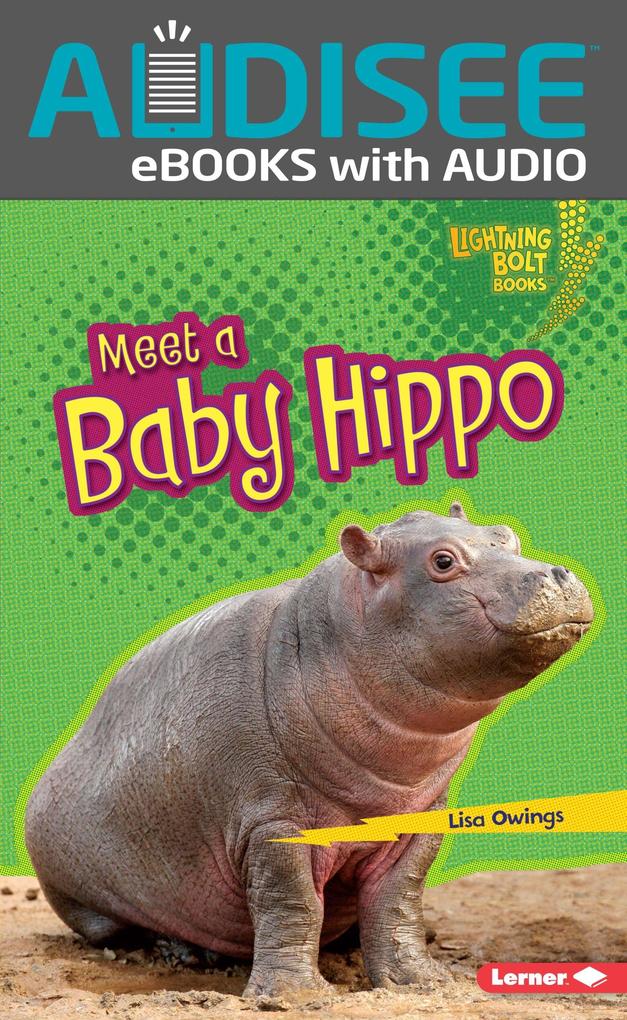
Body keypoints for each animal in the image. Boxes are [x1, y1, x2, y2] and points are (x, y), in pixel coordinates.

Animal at [26, 504, 593, 999]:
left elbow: (399, 900)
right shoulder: (271, 821)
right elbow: (292, 901)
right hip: (88, 899)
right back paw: (183, 954)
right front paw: (293, 995)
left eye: (507, 536)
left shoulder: (419, 820)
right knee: (124, 929)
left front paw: (421, 981)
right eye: (443, 561)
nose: (557, 574)